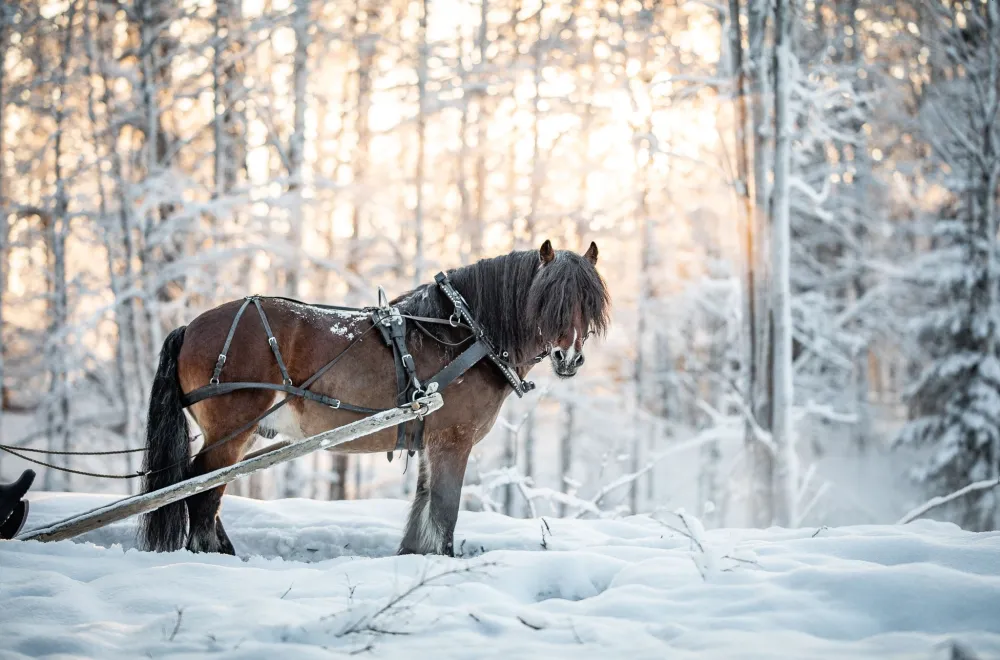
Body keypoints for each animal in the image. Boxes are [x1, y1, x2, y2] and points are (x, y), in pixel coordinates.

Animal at [138, 238, 608, 556]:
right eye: (548, 298)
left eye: (589, 301)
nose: (569, 358)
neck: (463, 333)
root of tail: (190, 327)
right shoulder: (453, 439)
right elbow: (445, 509)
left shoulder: (430, 440)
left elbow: (423, 509)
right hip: (233, 428)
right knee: (200, 490)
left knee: (205, 488)